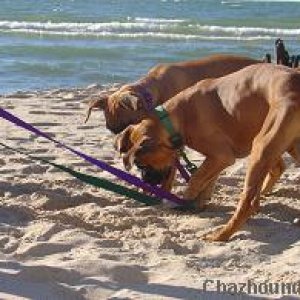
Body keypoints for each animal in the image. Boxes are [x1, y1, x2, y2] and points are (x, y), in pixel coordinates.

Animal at [114, 63, 300, 241]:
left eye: (140, 165)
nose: (145, 182)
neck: (176, 118)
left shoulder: (221, 156)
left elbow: (196, 179)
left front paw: (187, 199)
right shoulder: (216, 160)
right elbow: (208, 180)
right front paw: (199, 202)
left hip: (261, 150)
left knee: (248, 203)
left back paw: (221, 235)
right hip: (291, 147)